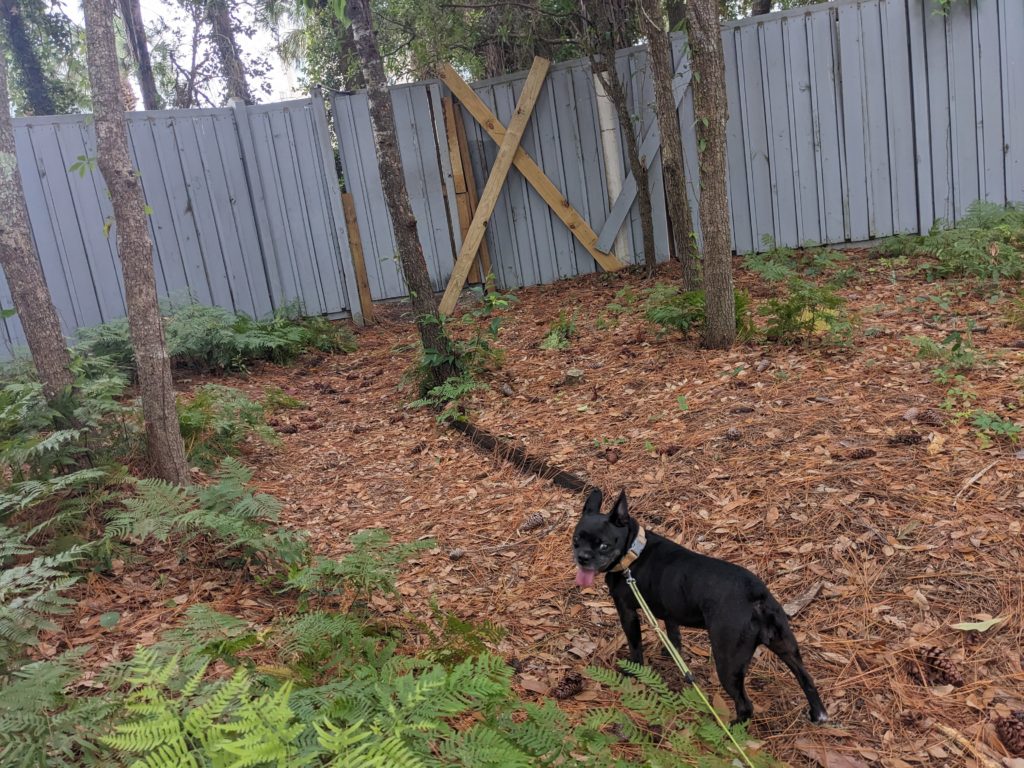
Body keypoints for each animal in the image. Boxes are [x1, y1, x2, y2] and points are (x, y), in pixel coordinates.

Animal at [573, 489, 827, 724]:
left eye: (603, 546)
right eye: (575, 540)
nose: (582, 557)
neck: (633, 551)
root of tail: (756, 597)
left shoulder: (627, 612)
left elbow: (635, 646)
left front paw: (633, 671)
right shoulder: (670, 609)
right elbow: (673, 632)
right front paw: (671, 651)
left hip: (728, 662)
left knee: (745, 705)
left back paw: (731, 729)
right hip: (785, 645)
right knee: (806, 679)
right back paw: (817, 714)